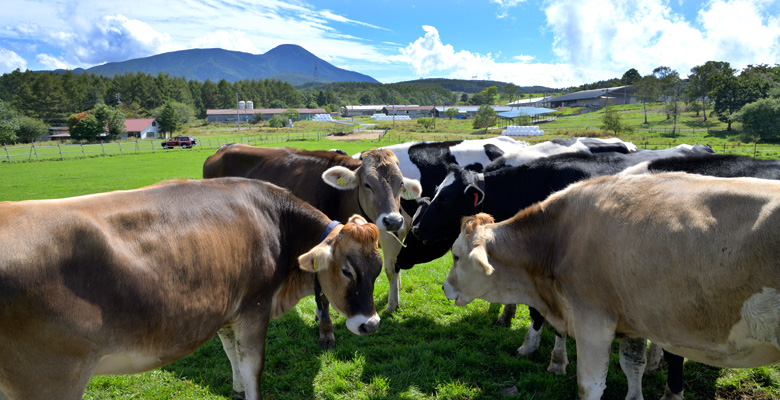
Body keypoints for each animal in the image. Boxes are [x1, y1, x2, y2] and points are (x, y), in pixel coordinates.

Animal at [0, 177, 384, 400]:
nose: (372, 324)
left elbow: (232, 357)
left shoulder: (227, 312)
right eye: (348, 271)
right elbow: (253, 368)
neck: (277, 223)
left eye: (379, 268)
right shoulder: (253, 309)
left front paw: (235, 391)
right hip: (50, 378)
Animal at [201, 144, 420, 346]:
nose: (393, 221)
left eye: (401, 184)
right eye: (367, 184)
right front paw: (326, 332)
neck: (339, 197)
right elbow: (322, 294)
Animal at [444, 173, 780, 400]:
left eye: (456, 255)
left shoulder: (592, 322)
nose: (446, 288)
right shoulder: (633, 320)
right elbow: (632, 365)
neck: (557, 239)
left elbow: (589, 386)